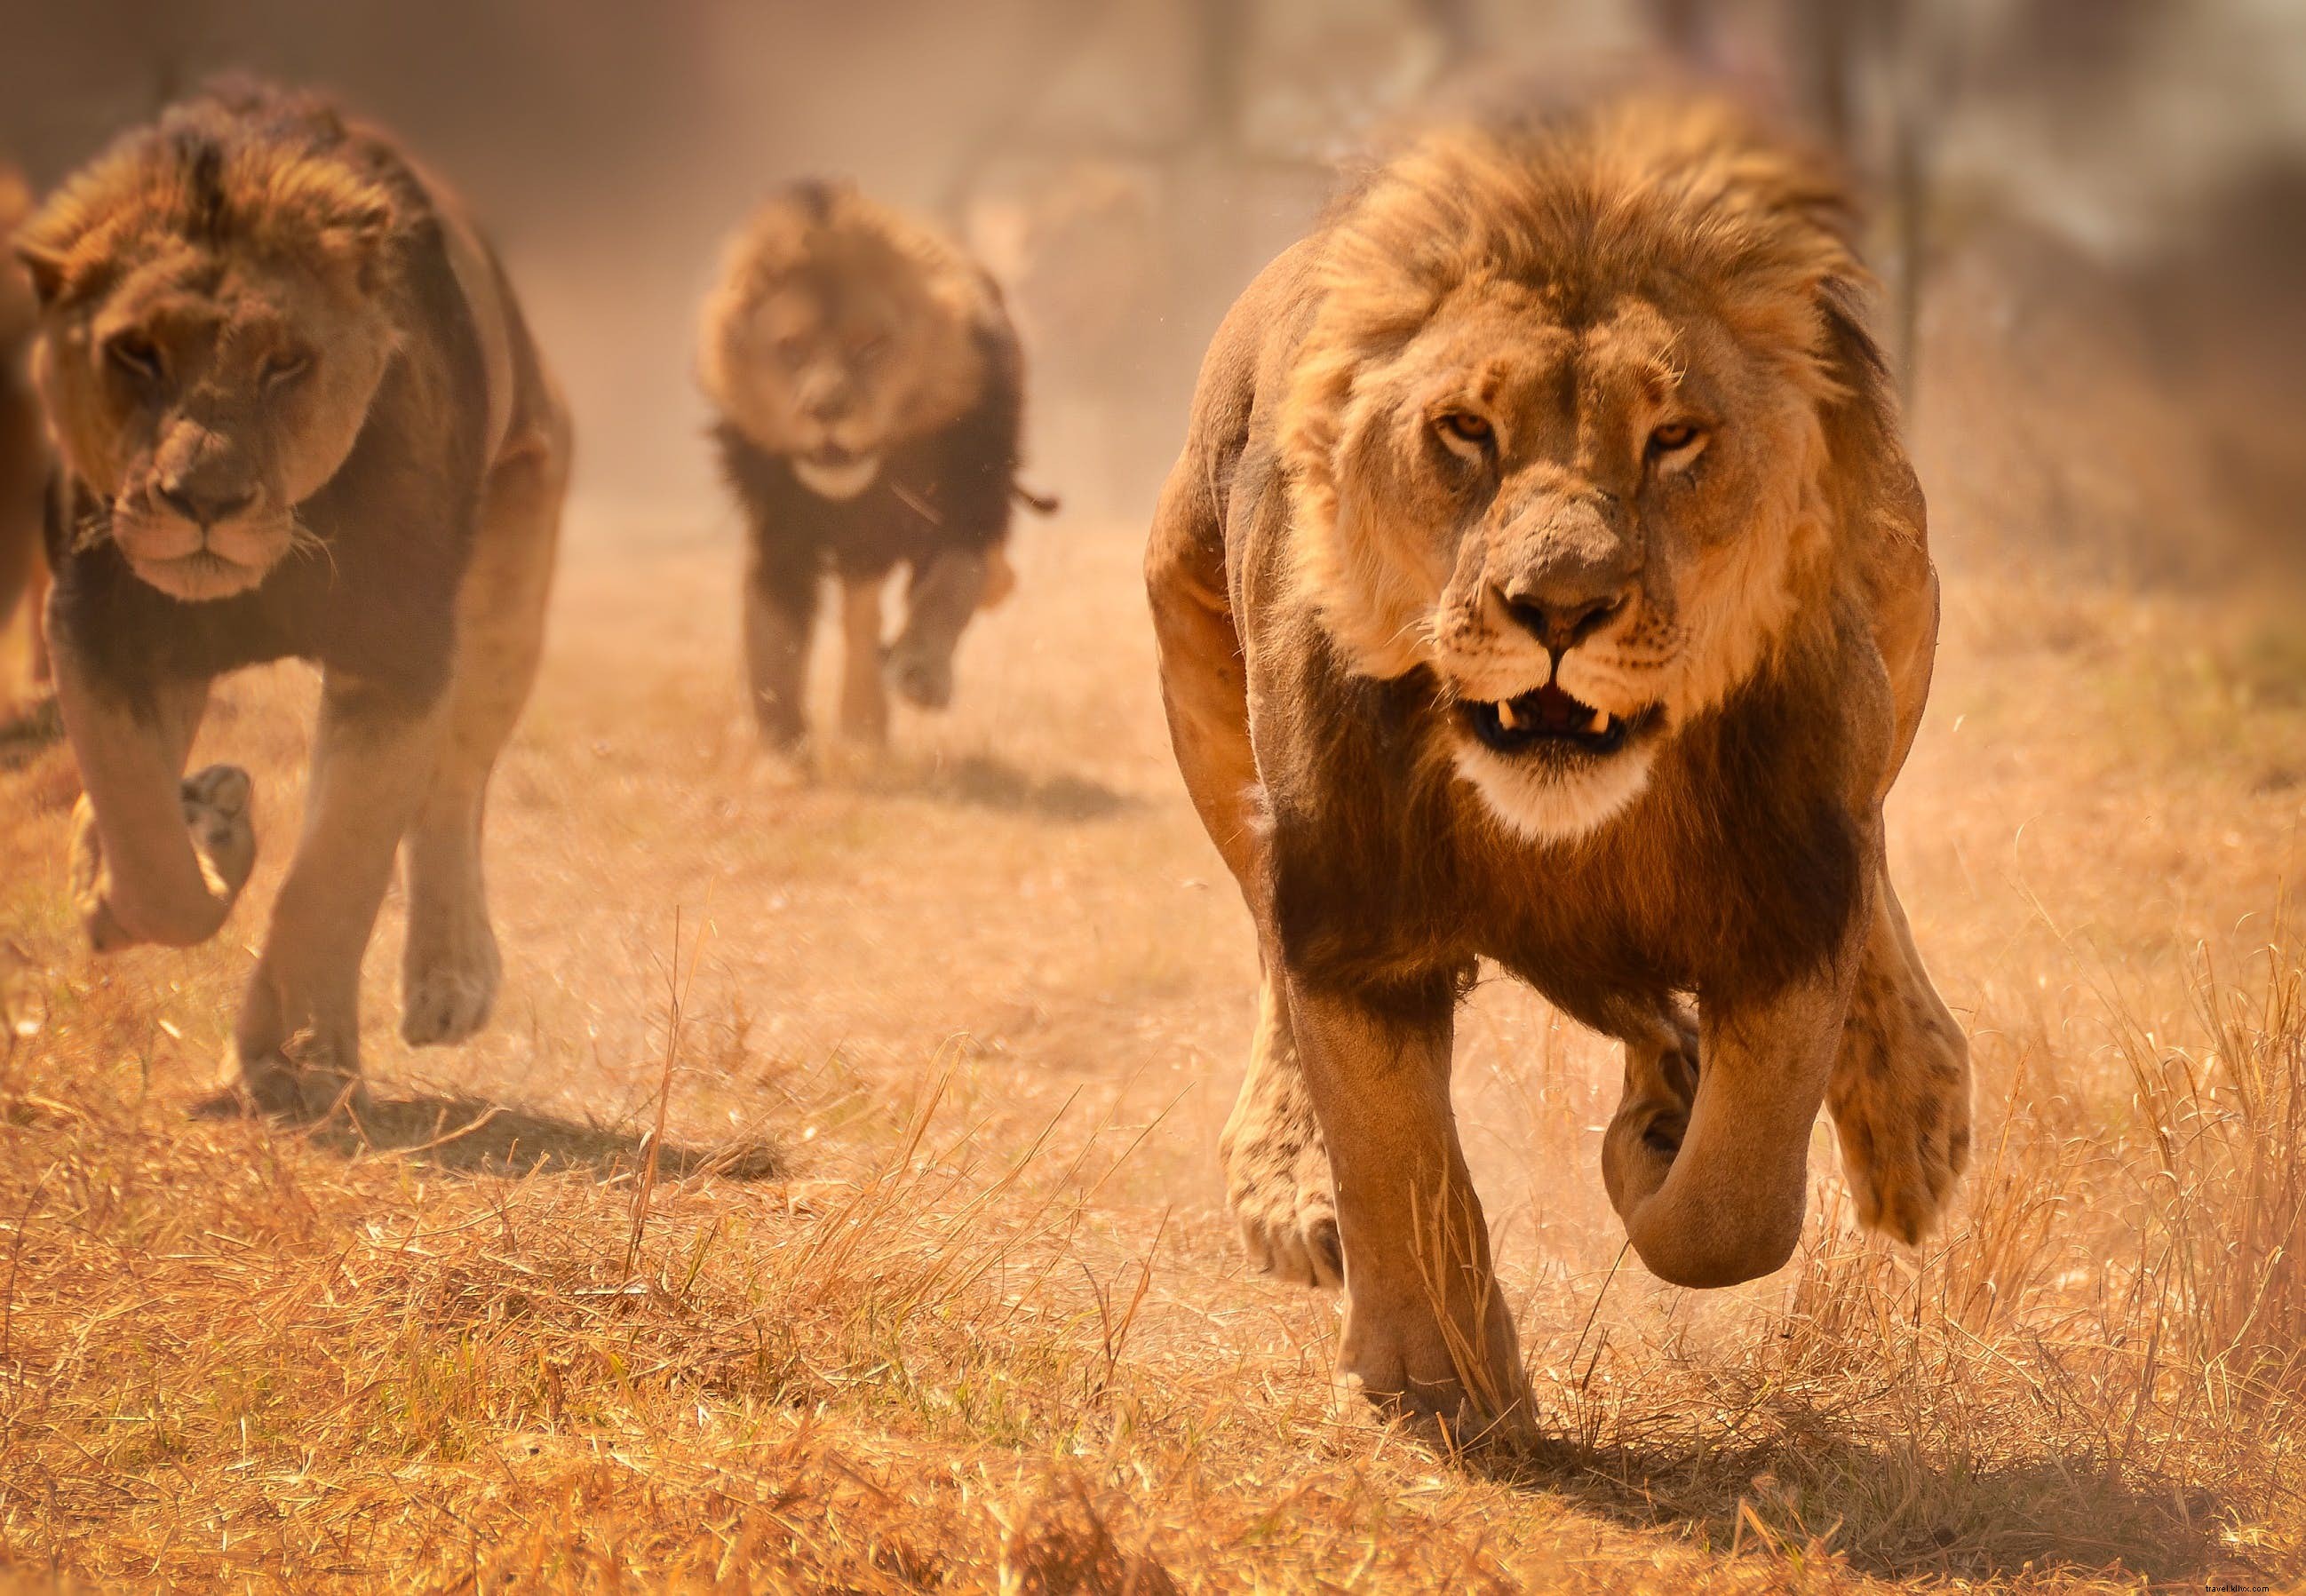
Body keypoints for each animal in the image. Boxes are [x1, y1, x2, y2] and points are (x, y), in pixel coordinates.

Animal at [15, 82, 569, 1117]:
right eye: (137, 354)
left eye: (284, 363)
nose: (205, 501)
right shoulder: (95, 630)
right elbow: (146, 845)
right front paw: (199, 840)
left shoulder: (399, 658)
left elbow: (336, 870)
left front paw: (299, 1064)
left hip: (515, 562)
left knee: (455, 788)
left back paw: (450, 980)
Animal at [699, 179, 1051, 754]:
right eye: (791, 349)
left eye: (870, 346)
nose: (825, 410)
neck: (868, 487)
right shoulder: (779, 534)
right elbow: (773, 641)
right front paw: (781, 746)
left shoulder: (967, 505)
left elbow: (951, 587)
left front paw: (921, 672)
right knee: (860, 616)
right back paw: (861, 724)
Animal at [1145, 98, 1969, 1428]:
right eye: (1465, 431)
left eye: (1674, 438)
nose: (1560, 607)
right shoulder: (1348, 904)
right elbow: (1393, 1151)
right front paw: (1432, 1382)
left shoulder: (1793, 889)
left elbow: (1734, 1207)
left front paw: (1656, 1146)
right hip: (1198, 678)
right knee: (1267, 956)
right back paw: (1293, 1188)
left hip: (1899, 615)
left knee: (1877, 857)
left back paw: (1904, 1114)